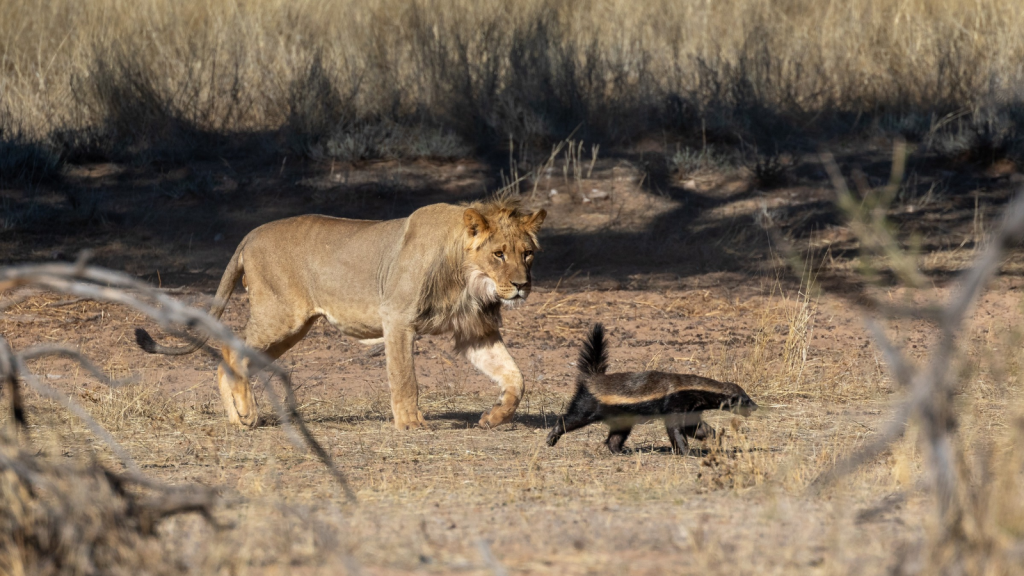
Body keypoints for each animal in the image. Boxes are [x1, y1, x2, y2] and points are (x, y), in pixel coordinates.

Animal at [140, 195, 548, 426]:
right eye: (499, 254)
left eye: (528, 254)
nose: (523, 285)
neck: (468, 279)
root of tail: (250, 234)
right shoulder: (397, 318)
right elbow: (405, 379)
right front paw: (411, 424)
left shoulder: (474, 331)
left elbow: (516, 378)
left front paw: (494, 418)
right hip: (280, 317)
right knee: (230, 351)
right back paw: (246, 412)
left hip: (293, 329)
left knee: (228, 361)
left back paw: (239, 420)